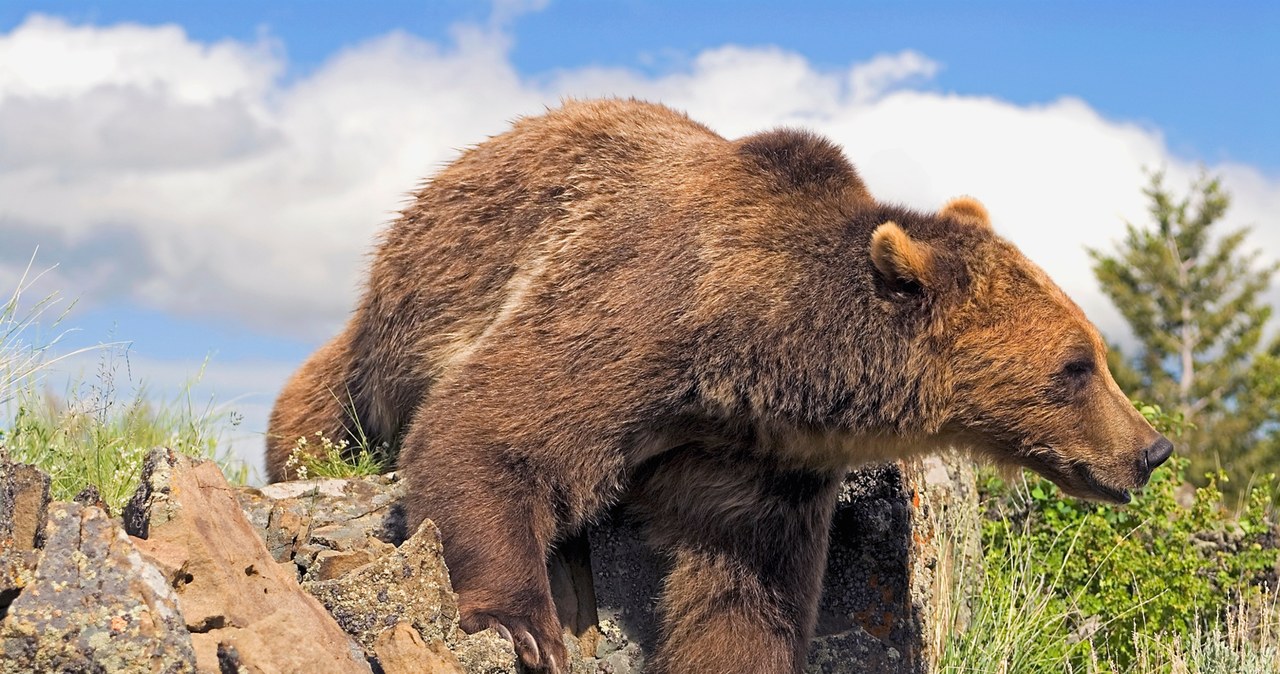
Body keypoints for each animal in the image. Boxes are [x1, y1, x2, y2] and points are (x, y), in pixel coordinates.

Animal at [267, 97, 1172, 670]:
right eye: (1075, 366)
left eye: (1096, 352)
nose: (1152, 449)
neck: (751, 354)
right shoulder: (632, 315)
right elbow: (492, 428)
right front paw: (524, 627)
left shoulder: (756, 459)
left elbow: (741, 589)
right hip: (389, 332)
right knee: (318, 406)